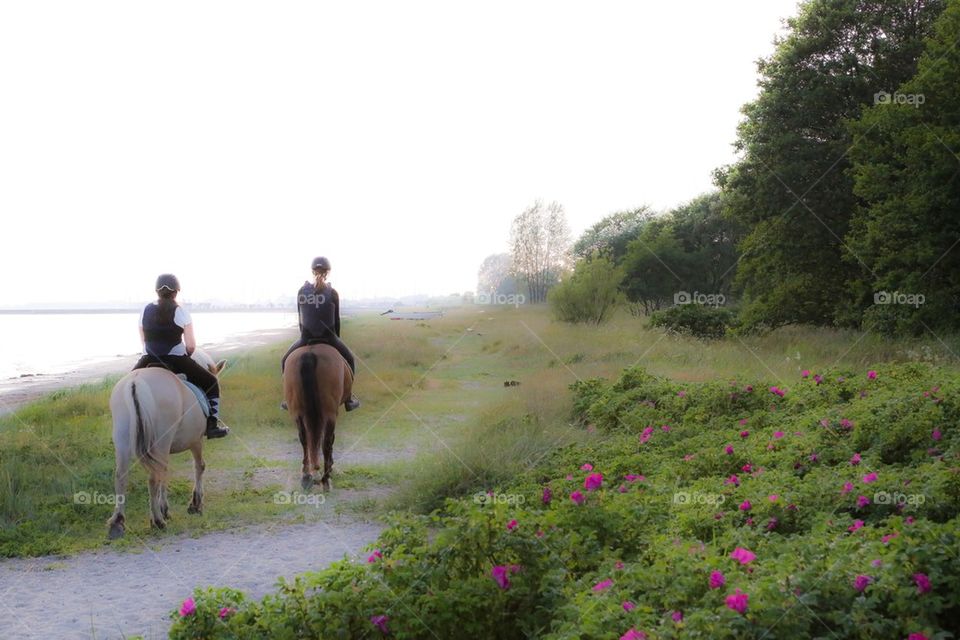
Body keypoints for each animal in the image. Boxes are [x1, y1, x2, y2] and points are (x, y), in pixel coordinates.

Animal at [106, 348, 225, 536]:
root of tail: (136, 382)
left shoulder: (163, 450)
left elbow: (166, 472)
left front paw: (165, 509)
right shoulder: (196, 440)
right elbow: (199, 466)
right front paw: (195, 504)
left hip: (124, 439)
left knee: (121, 476)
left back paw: (118, 521)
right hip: (161, 441)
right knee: (153, 478)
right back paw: (157, 521)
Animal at [284, 344, 354, 490]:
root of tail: (310, 353)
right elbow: (330, 440)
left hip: (298, 413)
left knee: (305, 440)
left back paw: (306, 477)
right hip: (329, 413)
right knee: (326, 442)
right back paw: (326, 480)